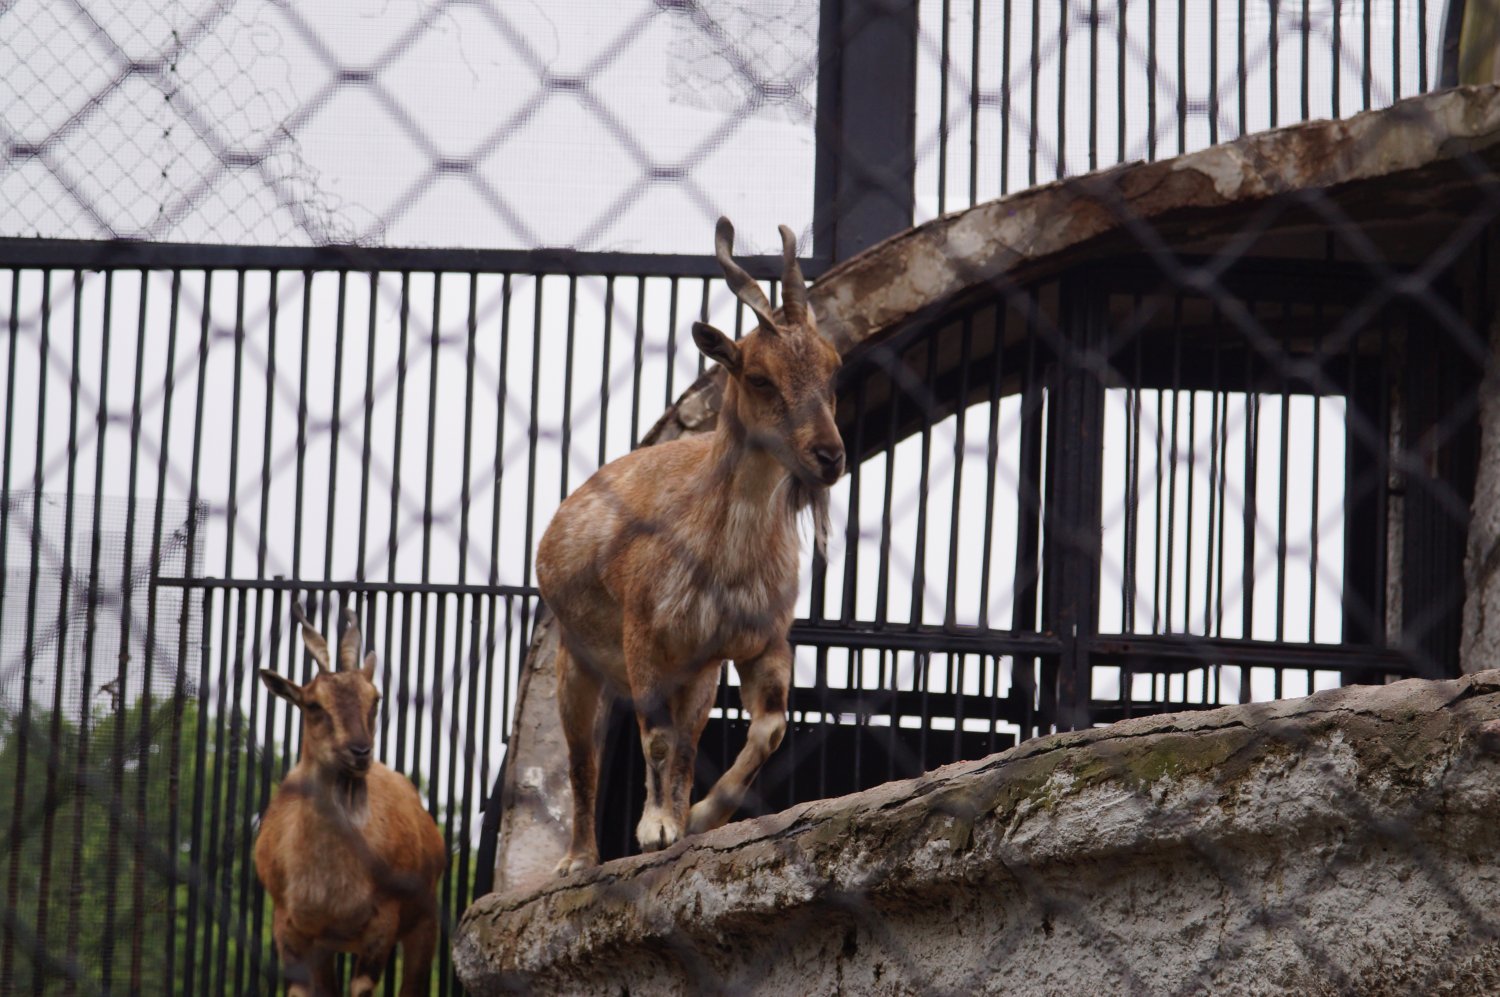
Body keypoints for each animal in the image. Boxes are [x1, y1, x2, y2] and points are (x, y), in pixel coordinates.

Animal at [252, 605, 447, 995]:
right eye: (313, 703)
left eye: (376, 698)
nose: (360, 752)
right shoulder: (292, 927)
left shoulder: (382, 924)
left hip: (423, 924)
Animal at [540, 217, 846, 869]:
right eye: (758, 377)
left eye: (833, 369)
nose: (829, 456)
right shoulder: (645, 637)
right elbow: (655, 739)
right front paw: (654, 829)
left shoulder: (744, 643)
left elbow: (763, 729)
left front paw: (698, 817)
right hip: (576, 661)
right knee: (581, 759)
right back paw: (578, 857)